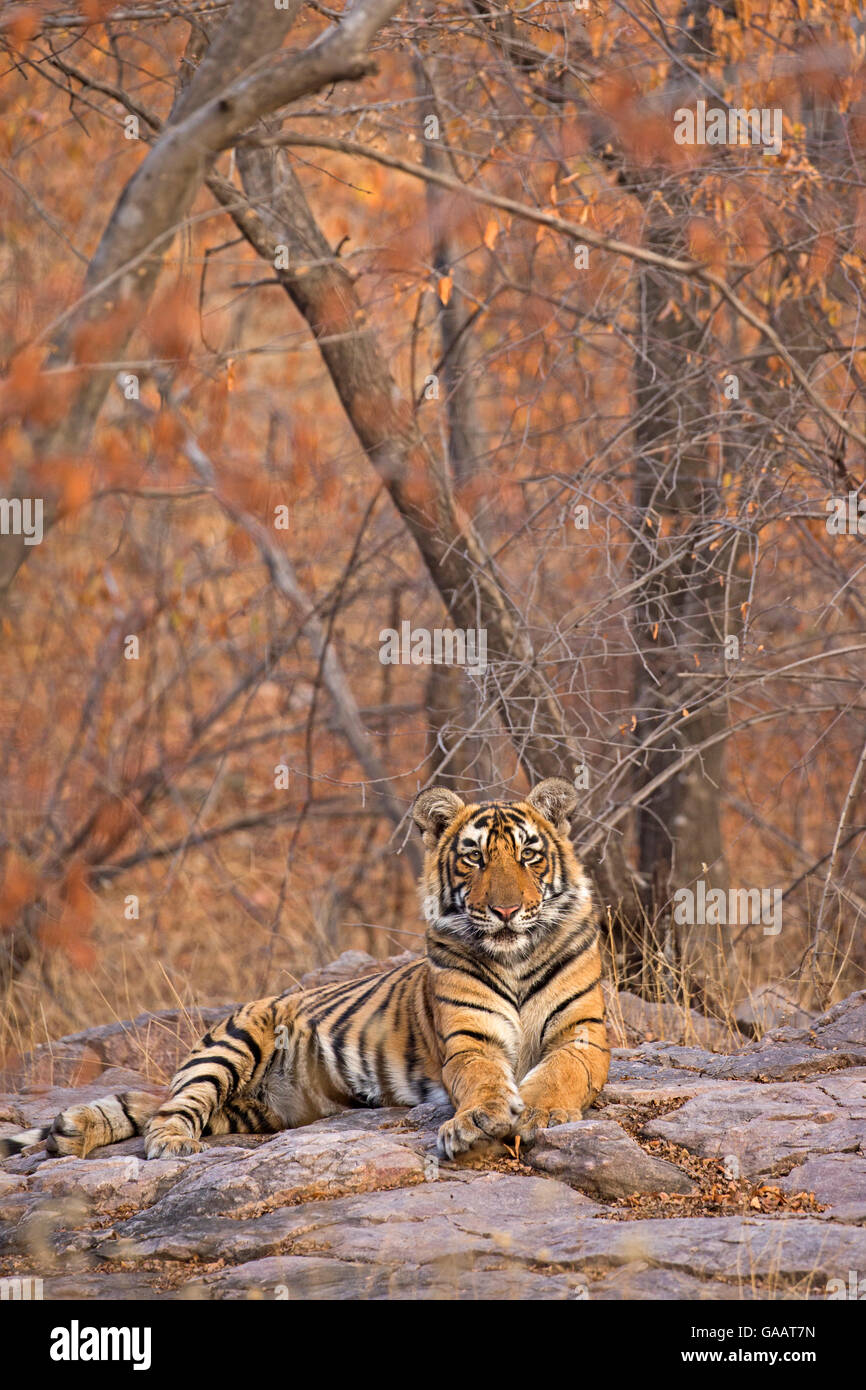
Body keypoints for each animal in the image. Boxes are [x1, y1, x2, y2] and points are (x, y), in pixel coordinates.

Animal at [1, 783, 608, 1162]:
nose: (506, 910)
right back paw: (167, 1143)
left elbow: (560, 1074)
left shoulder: (583, 1037)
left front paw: (541, 1113)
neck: (515, 955)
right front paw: (479, 1122)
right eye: (474, 858)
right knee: (170, 1108)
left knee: (160, 1107)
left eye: (528, 856)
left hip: (255, 1111)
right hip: (231, 1045)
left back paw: (69, 1131)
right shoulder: (469, 1041)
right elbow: (482, 1079)